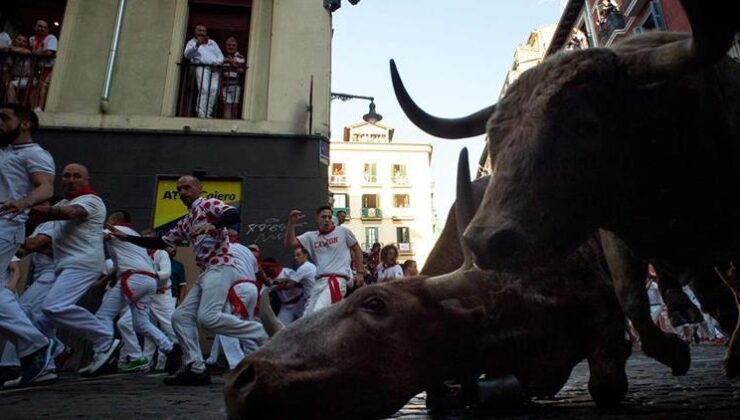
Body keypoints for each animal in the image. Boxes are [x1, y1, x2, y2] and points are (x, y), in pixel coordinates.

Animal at [390, 0, 736, 378]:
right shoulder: (614, 233)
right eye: (495, 140)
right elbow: (631, 295)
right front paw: (671, 349)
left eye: (584, 125)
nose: (485, 242)